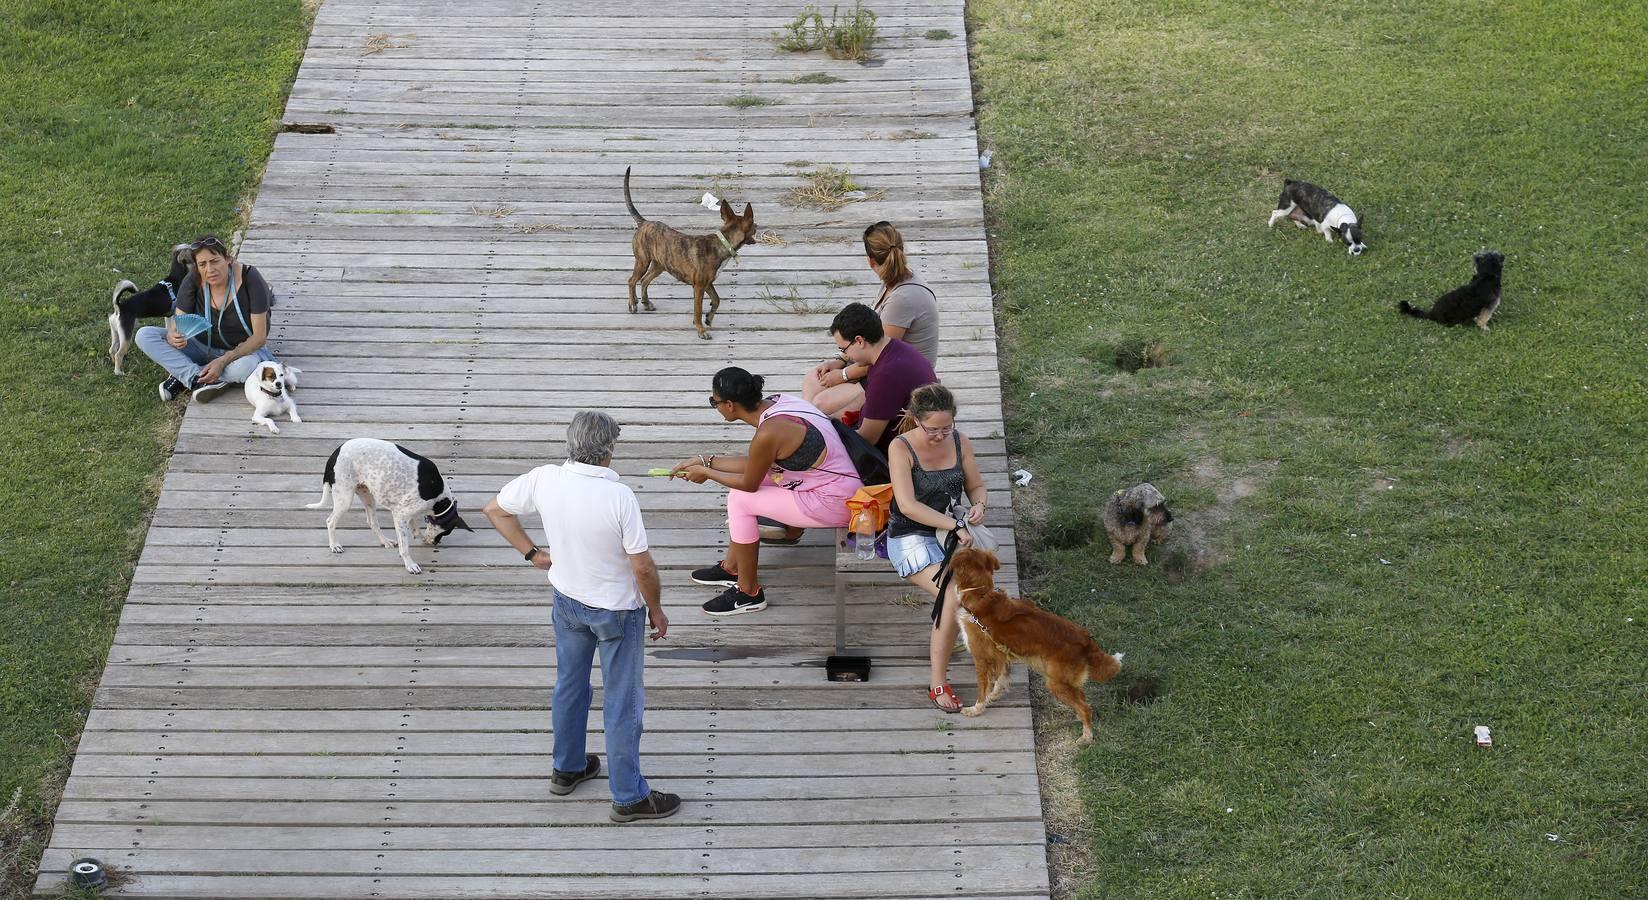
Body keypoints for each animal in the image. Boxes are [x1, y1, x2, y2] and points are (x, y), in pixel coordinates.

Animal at [306, 435, 474, 573]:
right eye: (446, 532)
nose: (434, 543)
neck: (440, 500)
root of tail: (334, 454)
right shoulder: (400, 515)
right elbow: (404, 546)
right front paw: (410, 564)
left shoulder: (406, 512)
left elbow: (415, 529)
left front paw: (418, 536)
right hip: (345, 499)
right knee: (330, 521)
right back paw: (334, 545)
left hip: (367, 496)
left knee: (372, 522)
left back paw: (385, 541)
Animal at [619, 164, 754, 336]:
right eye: (755, 227)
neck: (722, 243)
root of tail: (644, 222)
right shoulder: (699, 287)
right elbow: (697, 309)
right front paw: (701, 330)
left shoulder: (708, 283)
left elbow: (717, 300)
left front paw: (709, 317)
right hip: (643, 261)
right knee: (632, 281)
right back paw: (633, 304)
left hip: (659, 265)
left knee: (644, 280)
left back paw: (646, 302)